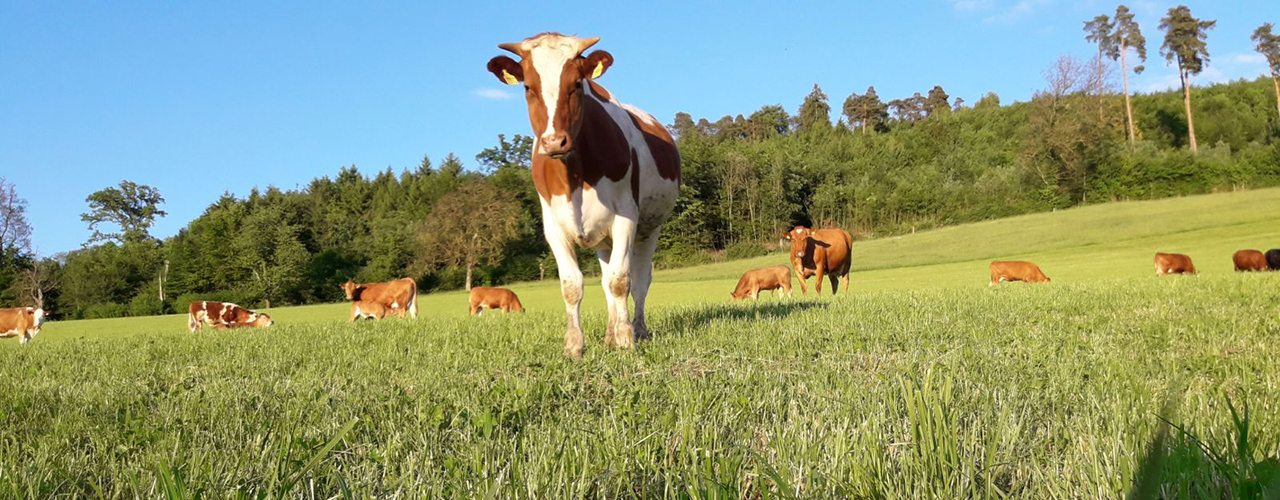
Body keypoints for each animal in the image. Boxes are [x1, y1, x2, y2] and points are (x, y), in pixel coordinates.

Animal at [487, 33, 680, 357]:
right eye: (527, 87)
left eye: (577, 83)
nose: (554, 141)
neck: (574, 175)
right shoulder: (553, 226)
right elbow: (573, 285)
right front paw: (575, 344)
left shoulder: (626, 218)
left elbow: (621, 281)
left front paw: (627, 339)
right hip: (603, 240)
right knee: (605, 279)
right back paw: (609, 335)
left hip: (651, 228)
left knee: (640, 281)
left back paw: (638, 331)